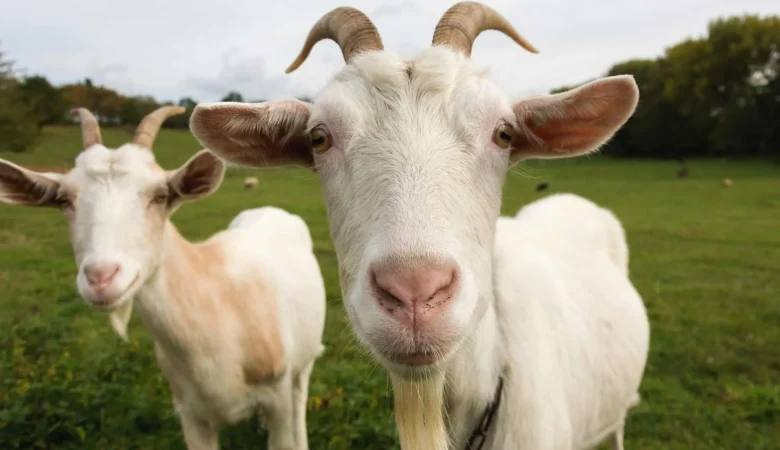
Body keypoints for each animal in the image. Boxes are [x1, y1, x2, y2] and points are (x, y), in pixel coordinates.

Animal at [0, 106, 326, 450]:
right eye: (64, 199)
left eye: (160, 195)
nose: (101, 277)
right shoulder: (191, 415)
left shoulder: (276, 398)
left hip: (302, 364)